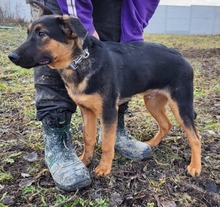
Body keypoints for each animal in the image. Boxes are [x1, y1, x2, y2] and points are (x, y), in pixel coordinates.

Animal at [8, 10, 201, 176]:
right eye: (28, 33)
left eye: (42, 34)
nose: (11, 56)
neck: (78, 62)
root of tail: (182, 57)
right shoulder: (87, 110)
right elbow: (88, 138)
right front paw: (84, 161)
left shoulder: (108, 112)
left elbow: (108, 143)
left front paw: (104, 168)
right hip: (152, 101)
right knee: (166, 124)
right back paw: (152, 144)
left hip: (180, 105)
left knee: (195, 137)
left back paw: (195, 167)